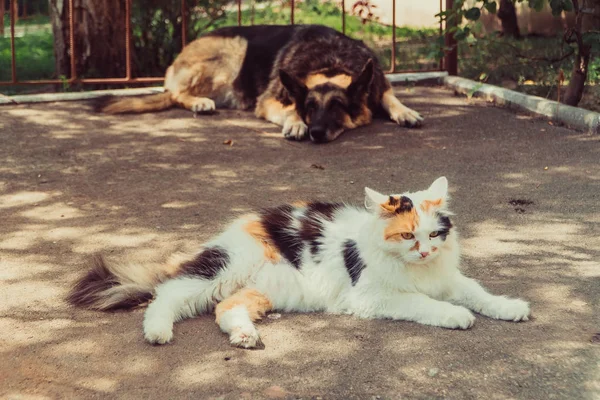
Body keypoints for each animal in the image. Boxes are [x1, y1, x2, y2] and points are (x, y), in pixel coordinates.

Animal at [68, 177, 532, 348]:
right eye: (406, 236)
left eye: (434, 235)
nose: (424, 251)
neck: (417, 269)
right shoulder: (374, 297)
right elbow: (426, 305)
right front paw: (456, 317)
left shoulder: (450, 279)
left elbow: (481, 294)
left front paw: (511, 308)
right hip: (221, 270)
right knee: (166, 294)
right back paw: (158, 332)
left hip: (259, 291)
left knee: (224, 310)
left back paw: (245, 337)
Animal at [96, 24, 422, 143]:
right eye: (309, 107)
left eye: (338, 106)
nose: (315, 132)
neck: (331, 61)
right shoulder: (268, 102)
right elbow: (287, 109)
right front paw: (295, 123)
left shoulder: (377, 81)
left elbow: (389, 96)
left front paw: (405, 111)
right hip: (233, 51)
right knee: (176, 94)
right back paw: (200, 102)